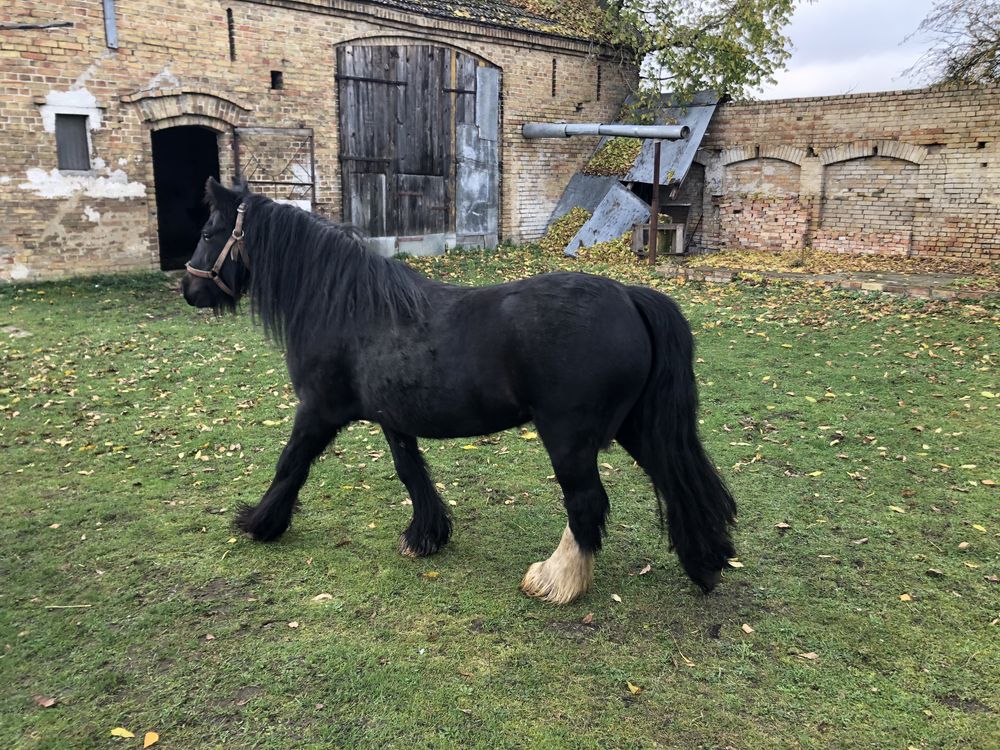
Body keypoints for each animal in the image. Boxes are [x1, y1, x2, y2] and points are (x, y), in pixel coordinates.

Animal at [182, 181, 736, 604]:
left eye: (208, 232)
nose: (190, 291)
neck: (349, 308)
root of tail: (628, 295)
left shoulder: (317, 412)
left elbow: (290, 465)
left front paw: (260, 522)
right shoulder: (393, 419)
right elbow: (411, 473)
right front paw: (427, 536)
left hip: (570, 438)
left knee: (587, 503)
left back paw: (556, 581)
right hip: (637, 427)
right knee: (680, 482)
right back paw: (705, 561)